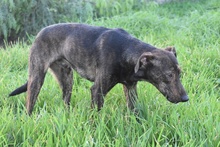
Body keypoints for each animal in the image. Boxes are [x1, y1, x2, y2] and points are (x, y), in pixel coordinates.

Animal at [8, 23, 188, 115]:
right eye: (169, 75)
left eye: (180, 74)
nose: (186, 98)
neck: (127, 51)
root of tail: (39, 32)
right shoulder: (97, 90)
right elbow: (96, 116)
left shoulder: (130, 88)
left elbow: (135, 112)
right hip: (36, 78)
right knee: (29, 103)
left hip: (67, 79)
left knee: (65, 101)